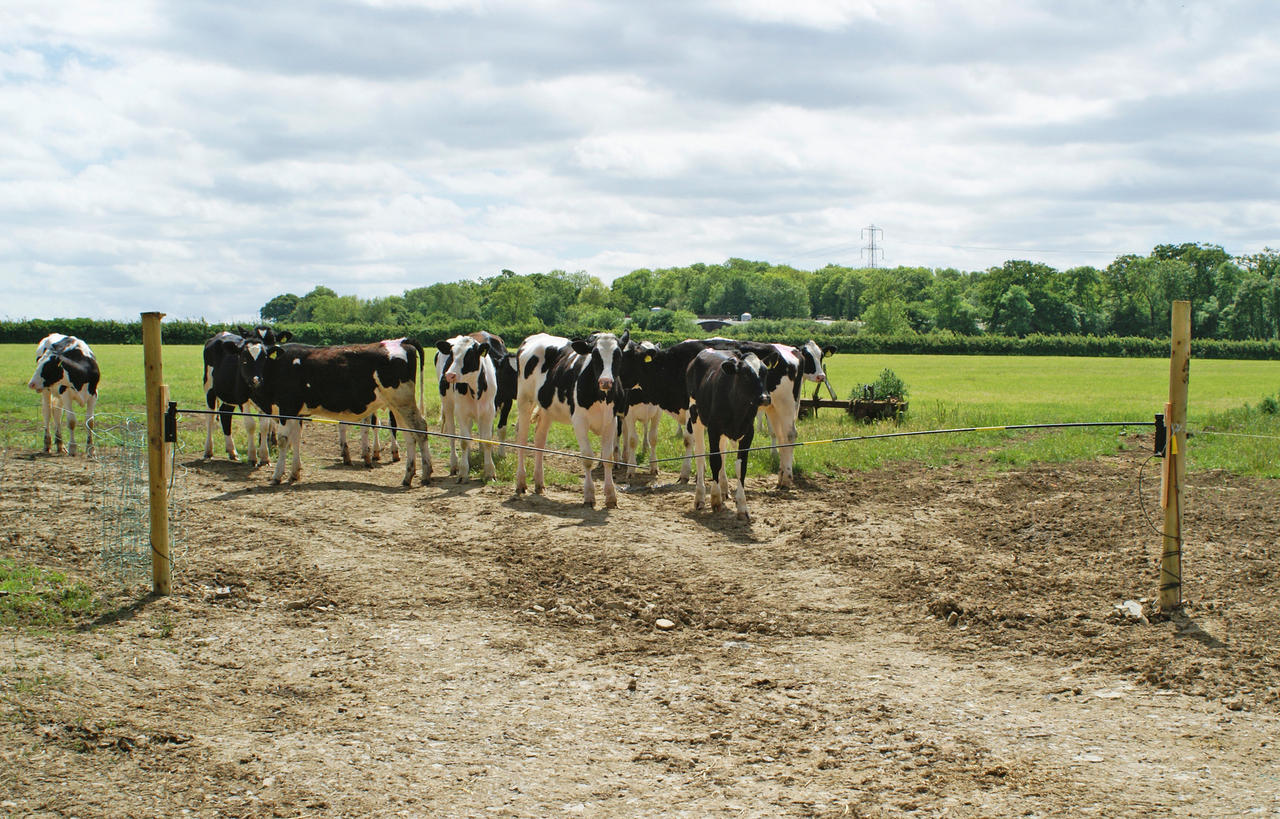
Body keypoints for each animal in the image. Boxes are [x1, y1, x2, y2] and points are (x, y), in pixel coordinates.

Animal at [240, 335, 435, 483]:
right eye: (243, 358)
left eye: (263, 357)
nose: (255, 380)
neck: (278, 367)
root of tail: (401, 341)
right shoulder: (296, 412)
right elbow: (295, 439)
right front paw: (294, 473)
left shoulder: (287, 408)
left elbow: (283, 440)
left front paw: (277, 476)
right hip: (397, 405)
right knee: (409, 434)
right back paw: (408, 475)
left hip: (403, 401)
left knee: (420, 428)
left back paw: (426, 473)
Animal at [435, 330, 504, 481]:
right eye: (452, 354)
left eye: (470, 355)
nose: (449, 375)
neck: (475, 389)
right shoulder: (461, 412)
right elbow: (464, 441)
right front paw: (463, 471)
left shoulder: (489, 411)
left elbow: (487, 439)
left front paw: (489, 471)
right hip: (447, 404)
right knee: (452, 433)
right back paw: (455, 464)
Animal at [509, 330, 629, 509]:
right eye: (595, 355)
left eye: (618, 355)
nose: (606, 382)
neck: (600, 397)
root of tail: (534, 337)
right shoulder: (579, 420)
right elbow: (587, 457)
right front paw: (589, 496)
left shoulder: (611, 421)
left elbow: (607, 458)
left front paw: (611, 496)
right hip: (524, 400)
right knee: (522, 440)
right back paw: (521, 483)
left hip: (547, 409)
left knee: (539, 440)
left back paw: (539, 483)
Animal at [691, 348, 768, 522]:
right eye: (745, 374)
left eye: (765, 372)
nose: (765, 398)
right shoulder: (713, 430)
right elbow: (714, 461)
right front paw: (715, 499)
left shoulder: (748, 434)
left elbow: (741, 467)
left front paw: (742, 507)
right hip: (694, 415)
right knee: (700, 454)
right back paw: (700, 497)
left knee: (723, 453)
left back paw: (725, 488)